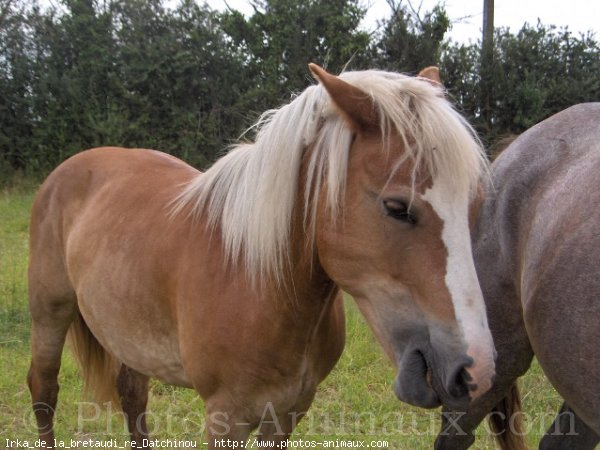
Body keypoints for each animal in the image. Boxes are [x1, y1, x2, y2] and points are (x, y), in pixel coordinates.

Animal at [28, 65, 494, 448]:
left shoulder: (286, 413)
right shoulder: (225, 418)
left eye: (474, 206)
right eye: (396, 207)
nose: (474, 372)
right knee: (44, 390)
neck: (257, 284)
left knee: (132, 395)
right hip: (50, 312)